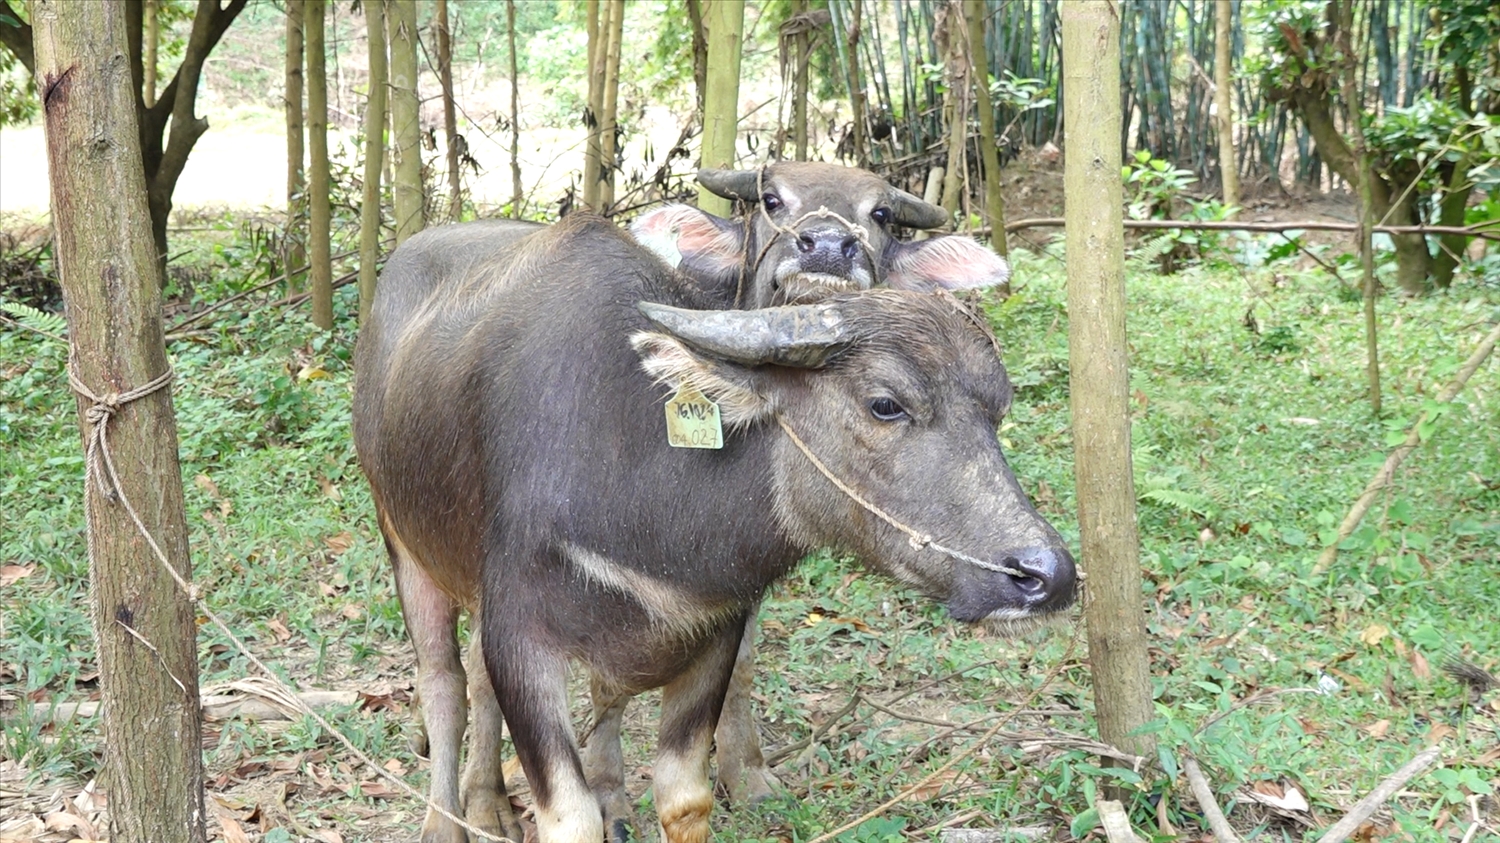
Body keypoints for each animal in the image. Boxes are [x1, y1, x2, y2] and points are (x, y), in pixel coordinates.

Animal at [355, 211, 1074, 840]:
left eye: (997, 409)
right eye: (886, 403)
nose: (1046, 574)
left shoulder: (713, 632)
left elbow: (683, 797)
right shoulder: (521, 634)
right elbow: (568, 813)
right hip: (403, 541)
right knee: (445, 685)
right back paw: (449, 819)